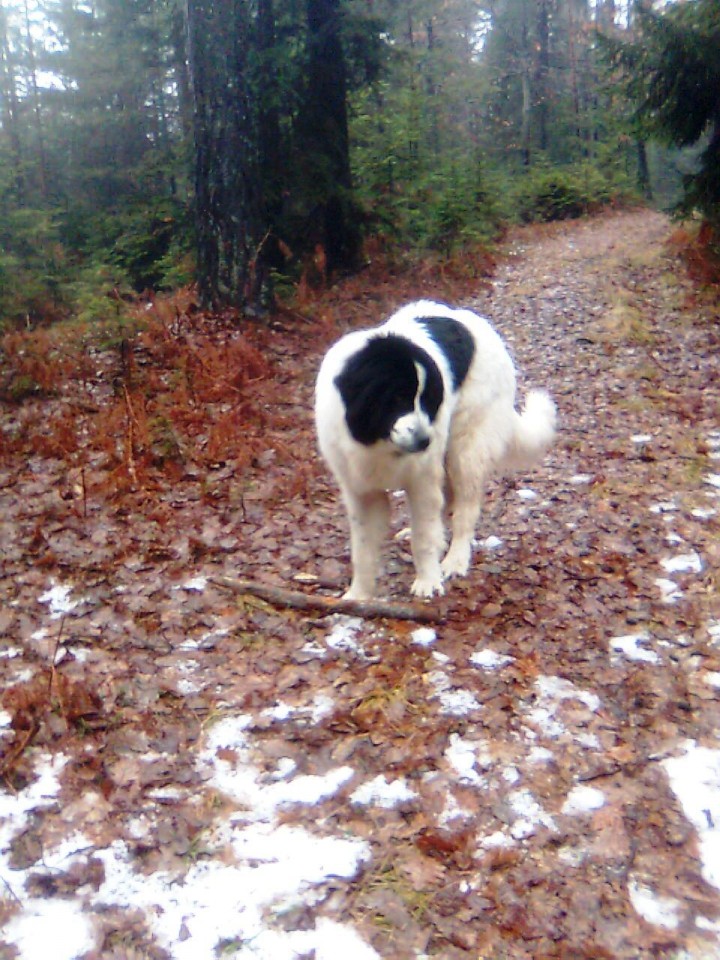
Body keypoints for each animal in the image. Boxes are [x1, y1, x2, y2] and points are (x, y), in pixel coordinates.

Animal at [316, 302, 556, 600]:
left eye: (427, 400)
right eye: (397, 398)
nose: (424, 441)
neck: (378, 442)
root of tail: (486, 329)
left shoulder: (421, 481)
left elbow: (424, 537)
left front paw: (428, 581)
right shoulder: (360, 490)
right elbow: (362, 549)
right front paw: (358, 595)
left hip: (465, 451)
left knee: (465, 509)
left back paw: (455, 560)